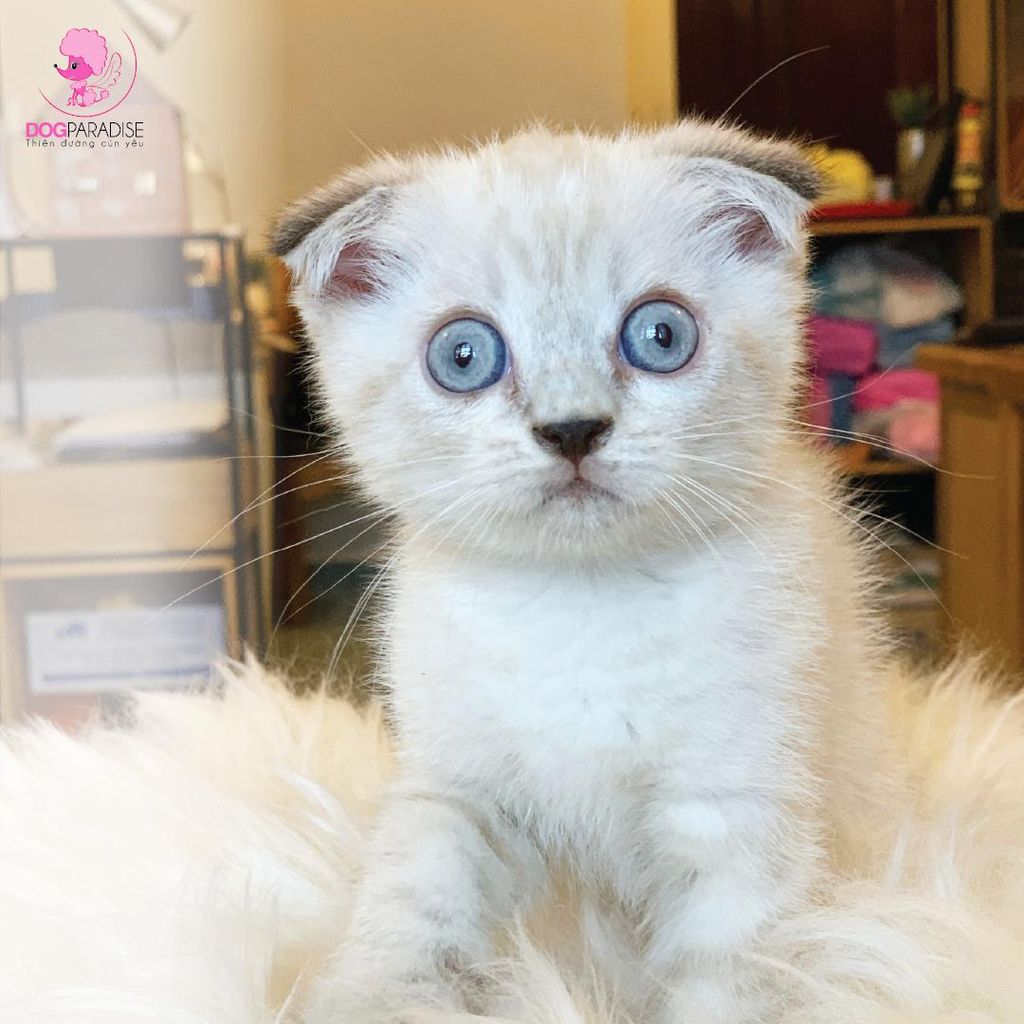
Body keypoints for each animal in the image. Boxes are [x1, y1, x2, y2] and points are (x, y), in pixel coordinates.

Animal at [272, 121, 897, 1024]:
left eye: (661, 336)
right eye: (464, 355)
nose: (571, 429)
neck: (577, 612)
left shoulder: (736, 811)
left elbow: (725, 983)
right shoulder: (458, 791)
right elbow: (408, 914)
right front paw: (372, 998)